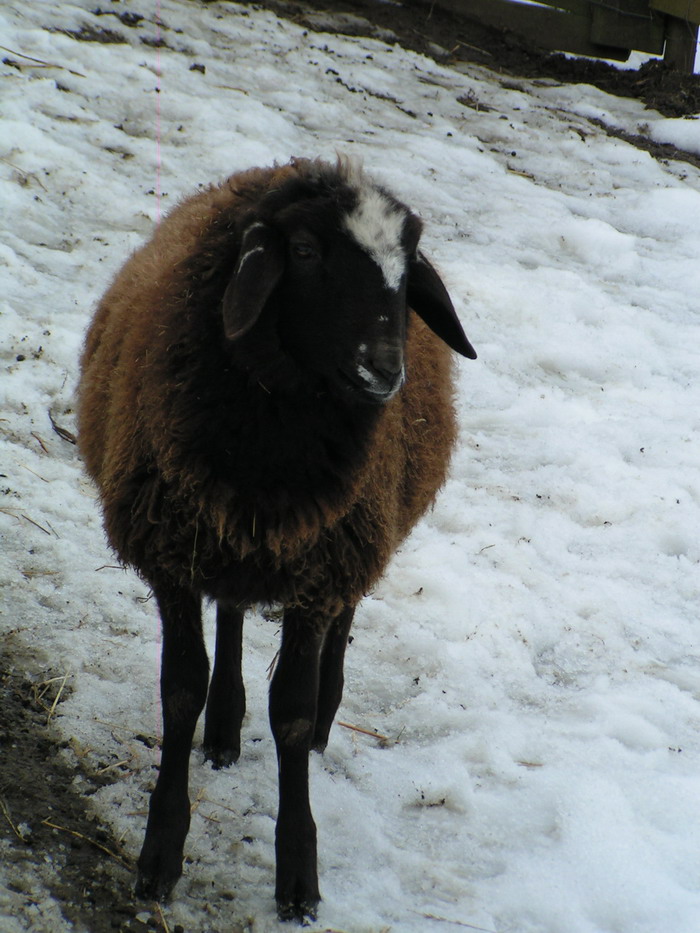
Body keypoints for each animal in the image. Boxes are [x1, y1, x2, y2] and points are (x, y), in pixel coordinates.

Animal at [76, 157, 476, 920]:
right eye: (309, 252)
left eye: (406, 268)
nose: (385, 369)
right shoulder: (174, 553)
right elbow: (181, 691)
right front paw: (160, 852)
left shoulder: (321, 568)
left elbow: (289, 711)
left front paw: (298, 872)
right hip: (229, 540)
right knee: (232, 612)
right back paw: (226, 726)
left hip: (359, 534)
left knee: (342, 624)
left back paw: (323, 717)